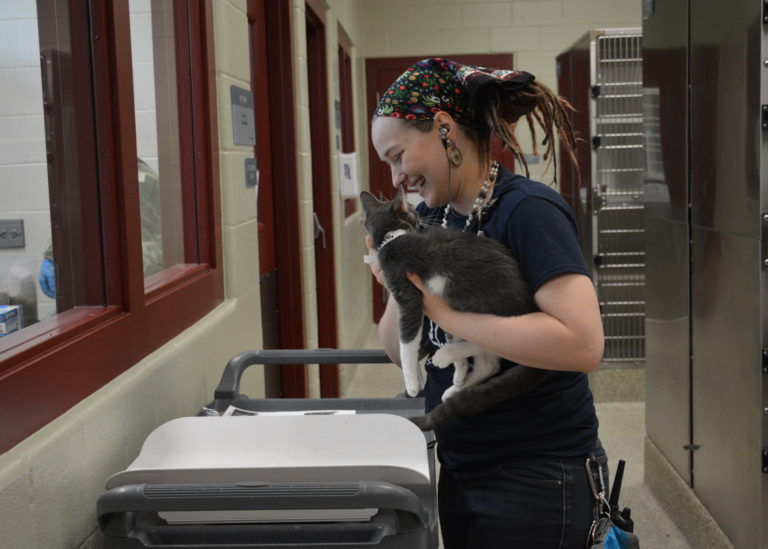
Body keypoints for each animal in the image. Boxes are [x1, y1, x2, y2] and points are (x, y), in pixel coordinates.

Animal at [362, 188, 548, 428]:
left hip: (474, 300)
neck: (392, 238)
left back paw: (446, 355)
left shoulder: (408, 295)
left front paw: (411, 384)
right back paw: (455, 388)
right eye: (412, 209)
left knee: (497, 342)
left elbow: (407, 343)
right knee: (489, 364)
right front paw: (458, 373)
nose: (420, 215)